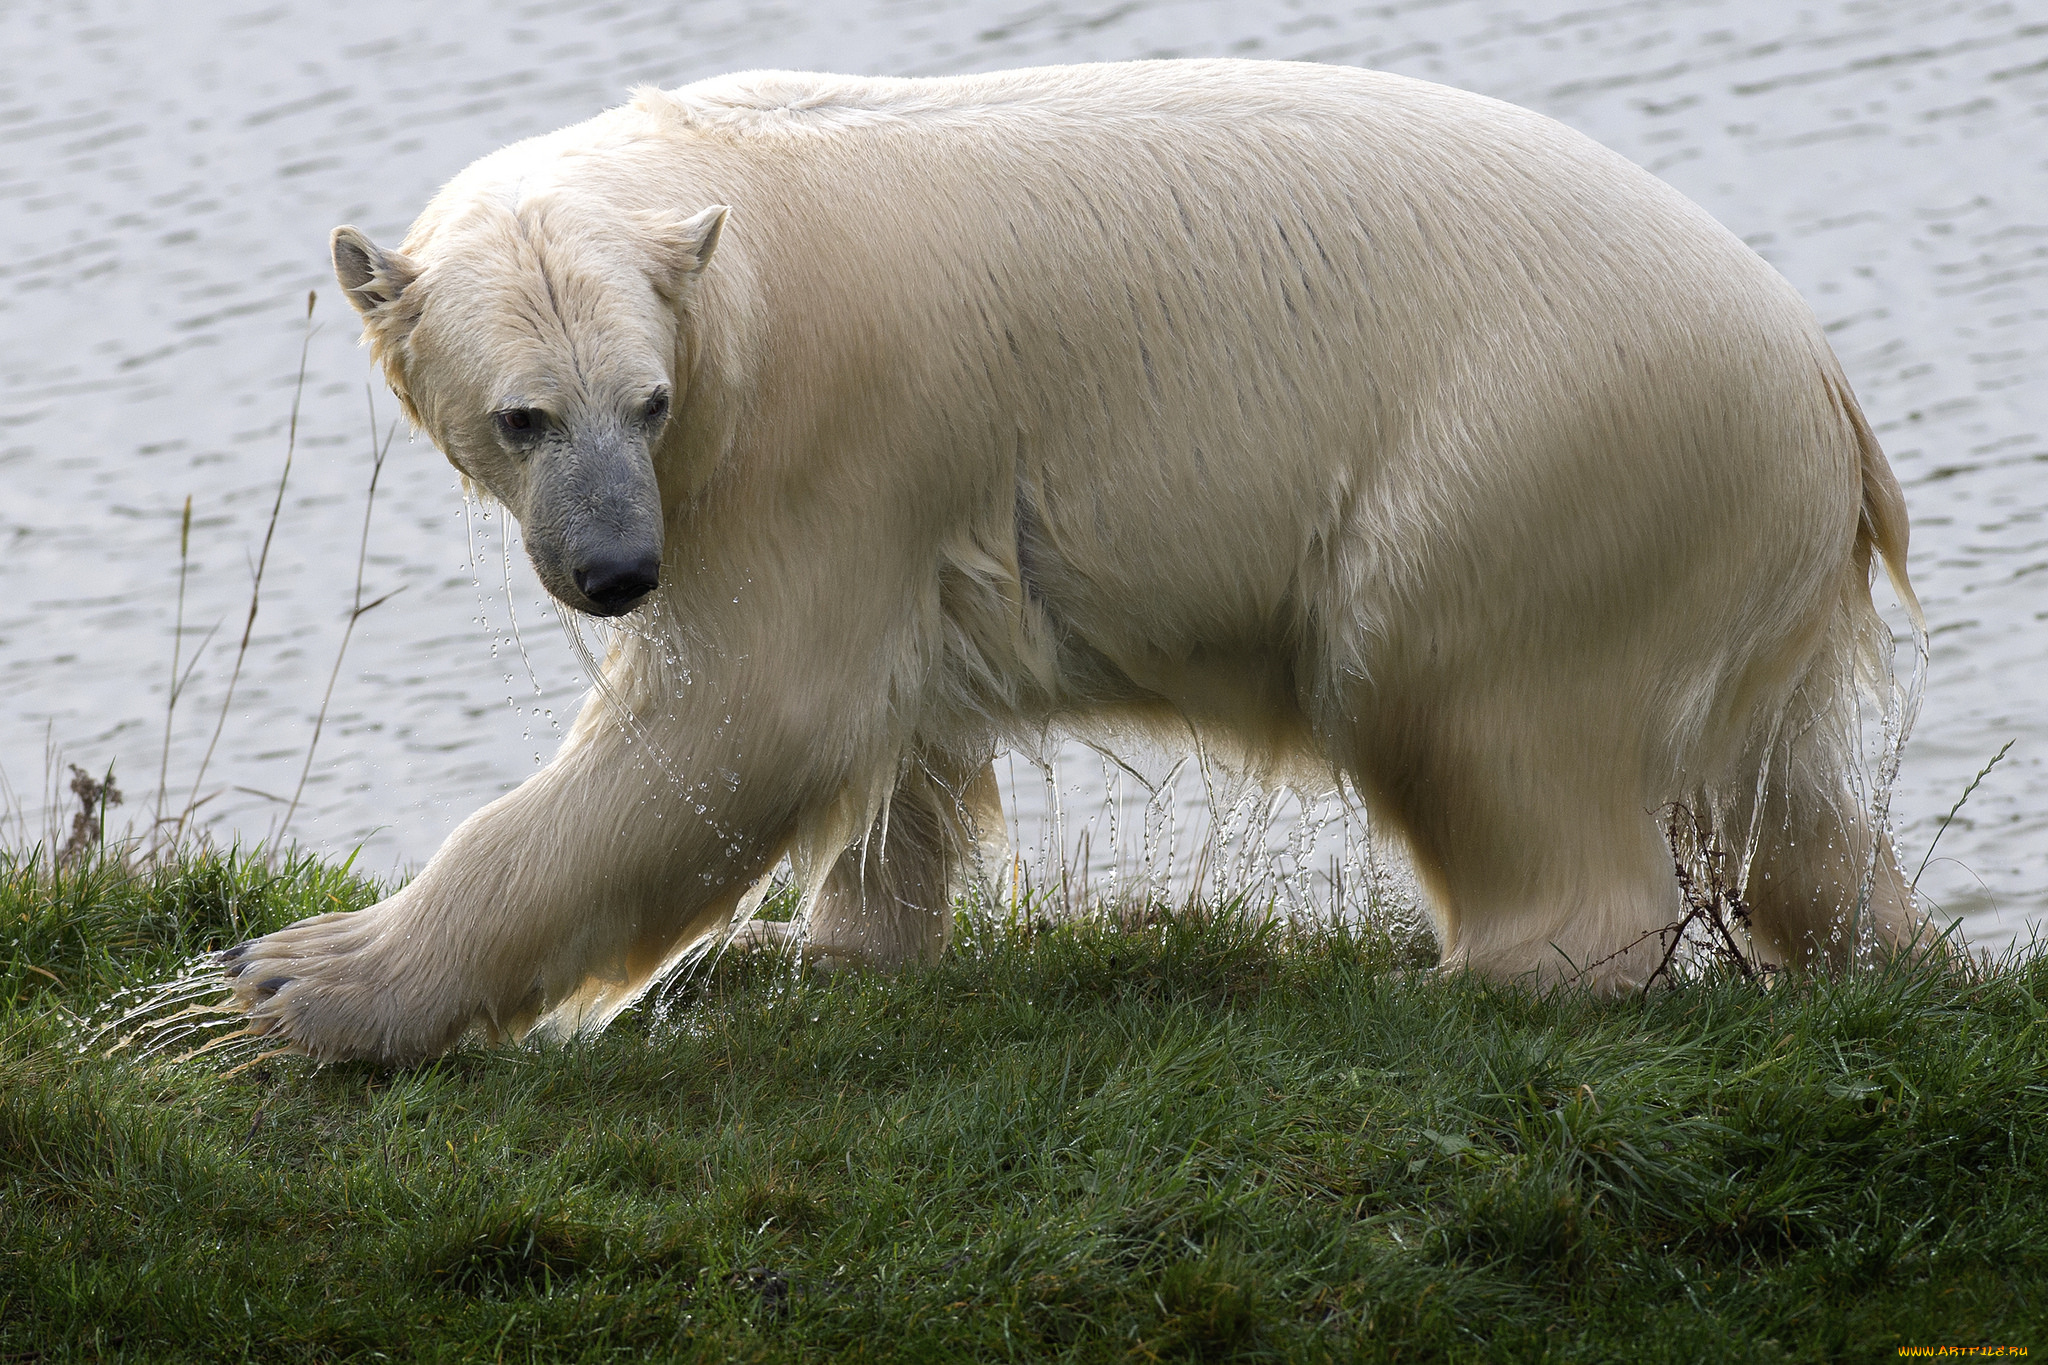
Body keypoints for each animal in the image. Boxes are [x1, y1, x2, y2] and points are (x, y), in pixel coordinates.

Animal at [228, 58, 1933, 1064]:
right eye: (521, 417)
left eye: (642, 403)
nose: (617, 571)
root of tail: (1829, 398)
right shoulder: (886, 488)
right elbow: (897, 724)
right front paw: (817, 947)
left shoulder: (804, 441)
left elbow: (742, 717)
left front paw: (298, 981)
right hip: (1725, 539)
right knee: (1783, 793)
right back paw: (1879, 953)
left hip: (1540, 450)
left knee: (1454, 691)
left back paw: (1468, 975)